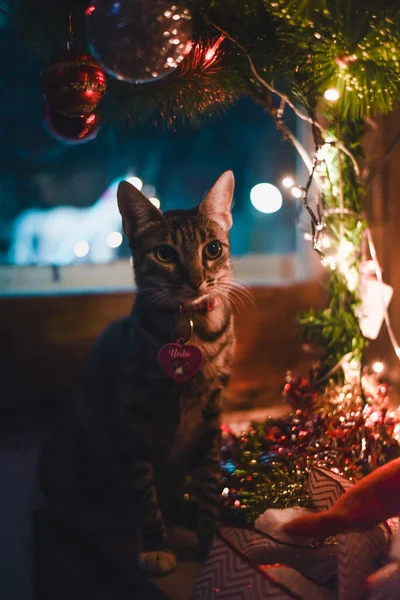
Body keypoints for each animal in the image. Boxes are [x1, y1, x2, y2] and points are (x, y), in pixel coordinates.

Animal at [37, 169, 236, 576]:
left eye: (212, 249)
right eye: (165, 253)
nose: (196, 279)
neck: (193, 328)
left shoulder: (211, 418)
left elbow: (209, 485)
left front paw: (209, 542)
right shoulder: (130, 423)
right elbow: (144, 497)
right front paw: (157, 546)